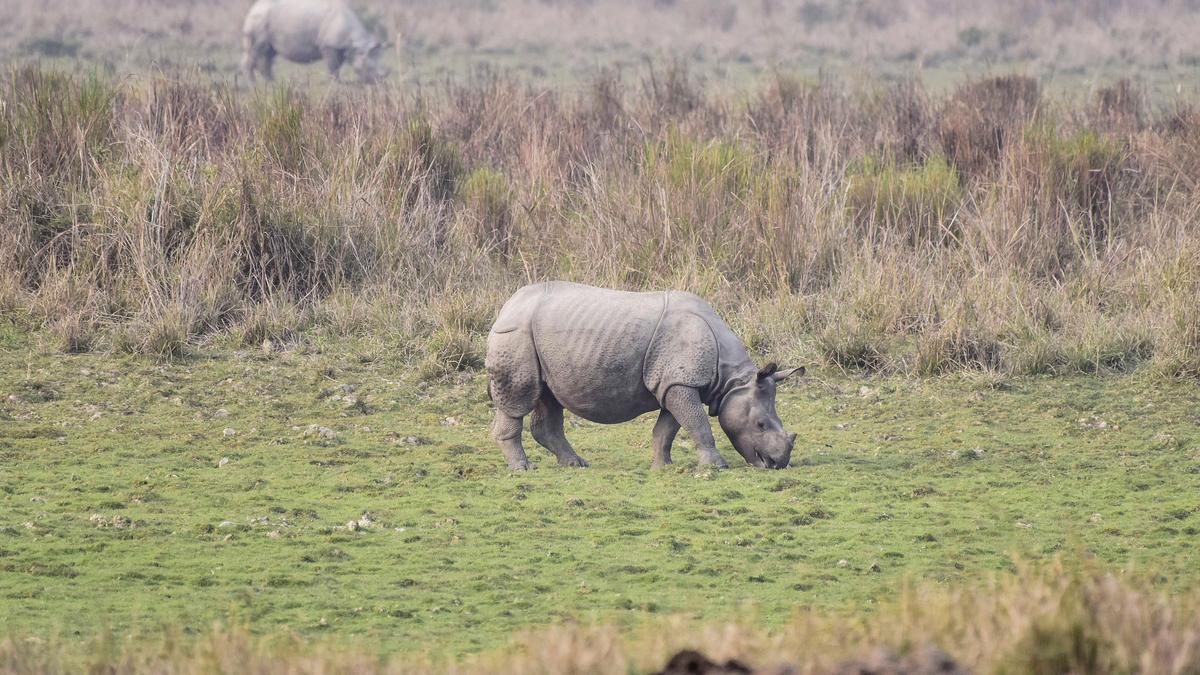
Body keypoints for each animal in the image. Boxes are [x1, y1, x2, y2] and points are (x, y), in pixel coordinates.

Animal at [241, 0, 389, 83]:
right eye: (368, 66)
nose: (377, 81)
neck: (356, 44)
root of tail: (252, 9)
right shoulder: (330, 45)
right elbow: (333, 65)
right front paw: (336, 82)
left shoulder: (339, 46)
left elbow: (338, 64)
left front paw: (337, 80)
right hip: (259, 20)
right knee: (261, 51)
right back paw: (261, 83)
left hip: (263, 21)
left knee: (267, 53)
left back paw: (268, 81)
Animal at [486, 282, 803, 471]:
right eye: (760, 425)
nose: (779, 463)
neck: (731, 380)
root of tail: (507, 305)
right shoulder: (680, 383)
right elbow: (698, 424)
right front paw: (716, 466)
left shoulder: (674, 383)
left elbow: (668, 429)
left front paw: (664, 467)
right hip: (515, 334)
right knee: (518, 400)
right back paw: (524, 468)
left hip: (540, 344)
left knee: (549, 398)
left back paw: (576, 464)